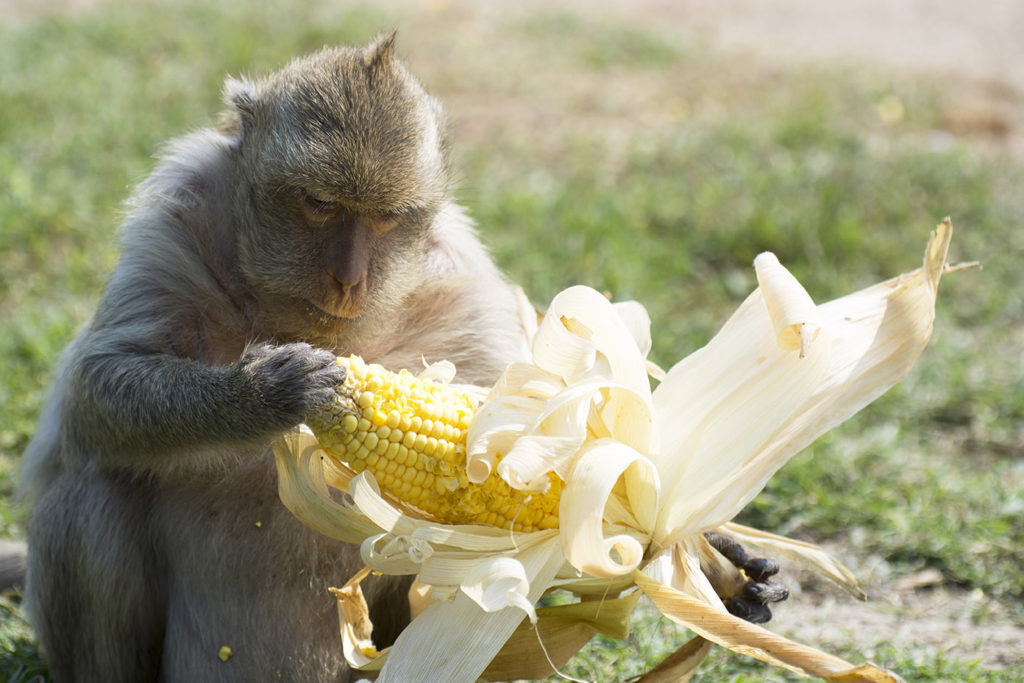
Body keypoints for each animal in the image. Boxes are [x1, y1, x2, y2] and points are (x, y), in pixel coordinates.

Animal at [18, 37, 536, 683]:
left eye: (386, 216)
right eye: (319, 204)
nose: (349, 278)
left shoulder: (465, 284)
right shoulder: (173, 224)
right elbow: (96, 390)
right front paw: (265, 395)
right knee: (90, 493)